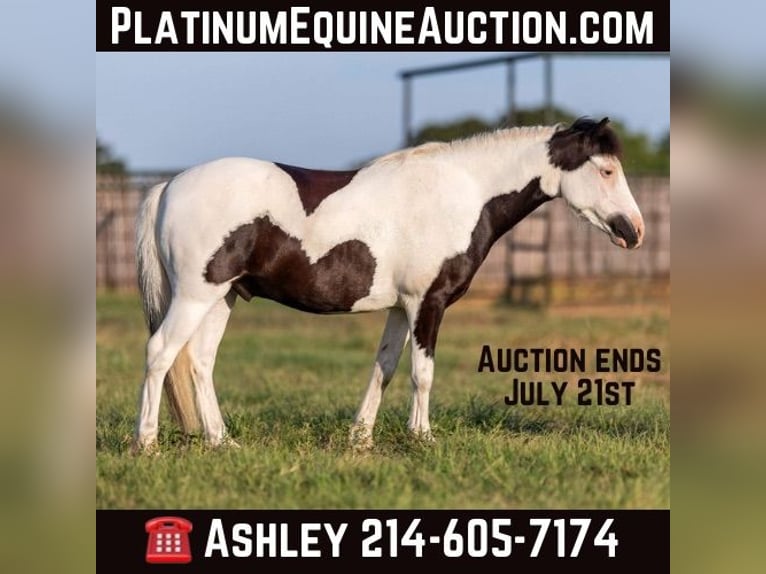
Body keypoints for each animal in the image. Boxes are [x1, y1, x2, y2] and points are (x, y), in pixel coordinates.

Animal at [135, 118, 644, 454]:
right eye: (605, 171)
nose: (635, 230)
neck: (462, 192)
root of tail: (169, 185)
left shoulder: (401, 309)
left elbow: (385, 368)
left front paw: (360, 439)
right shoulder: (427, 303)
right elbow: (423, 373)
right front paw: (423, 437)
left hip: (223, 297)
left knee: (200, 362)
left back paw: (222, 441)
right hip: (196, 296)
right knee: (160, 353)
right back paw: (147, 443)